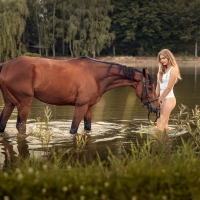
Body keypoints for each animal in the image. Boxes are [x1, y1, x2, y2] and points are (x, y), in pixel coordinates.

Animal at [0, 55, 160, 134]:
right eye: (150, 87)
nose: (157, 107)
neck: (95, 75)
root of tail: (5, 65)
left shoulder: (89, 107)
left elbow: (87, 127)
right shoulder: (81, 106)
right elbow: (73, 129)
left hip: (10, 103)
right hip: (23, 104)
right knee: (21, 127)